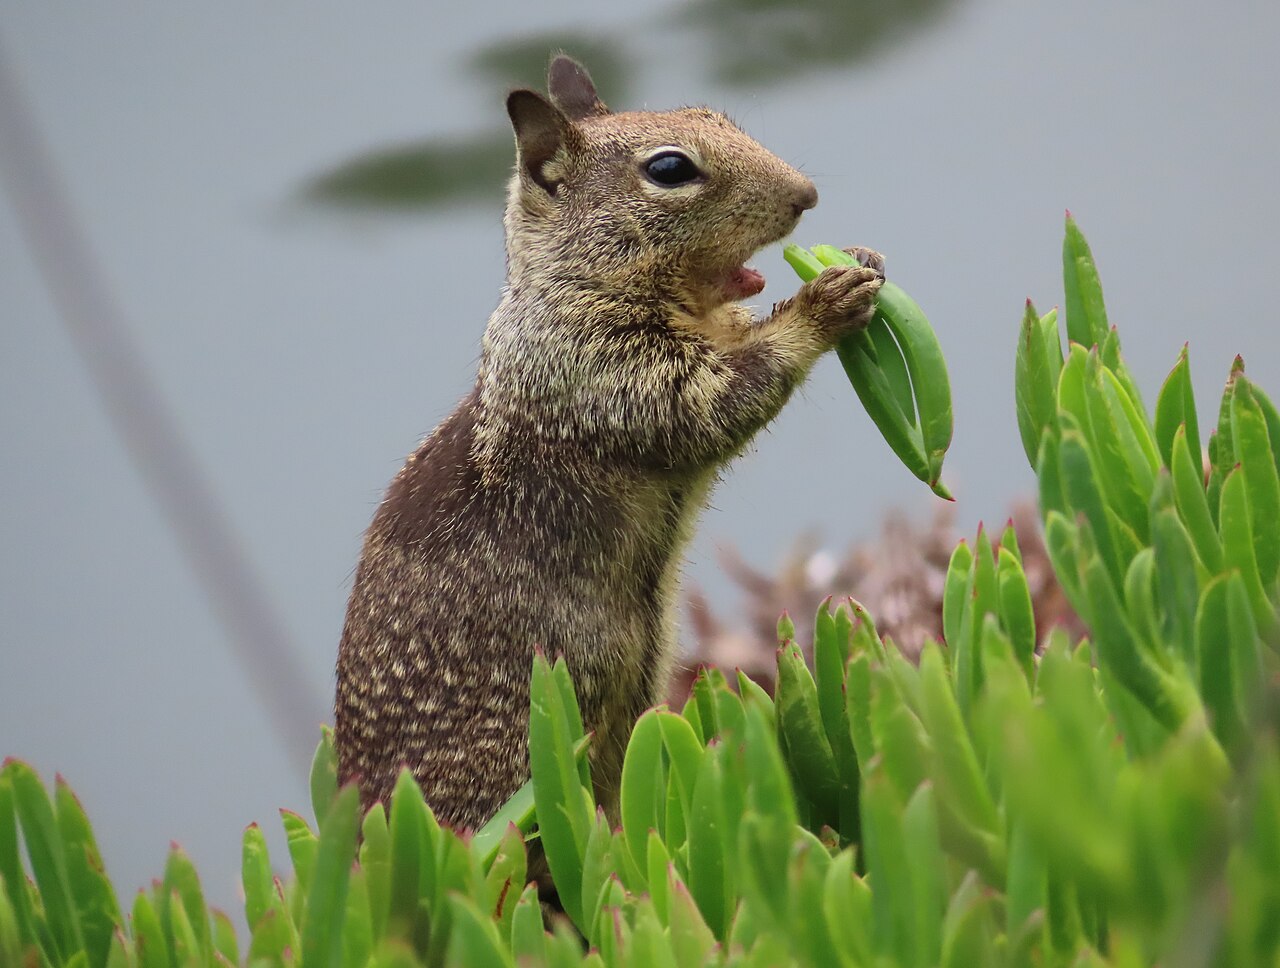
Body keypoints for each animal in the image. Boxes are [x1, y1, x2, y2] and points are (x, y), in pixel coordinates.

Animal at [334, 55, 884, 829]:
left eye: (715, 114)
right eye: (670, 168)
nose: (807, 195)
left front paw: (861, 255)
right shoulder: (605, 373)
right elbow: (717, 400)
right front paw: (822, 302)